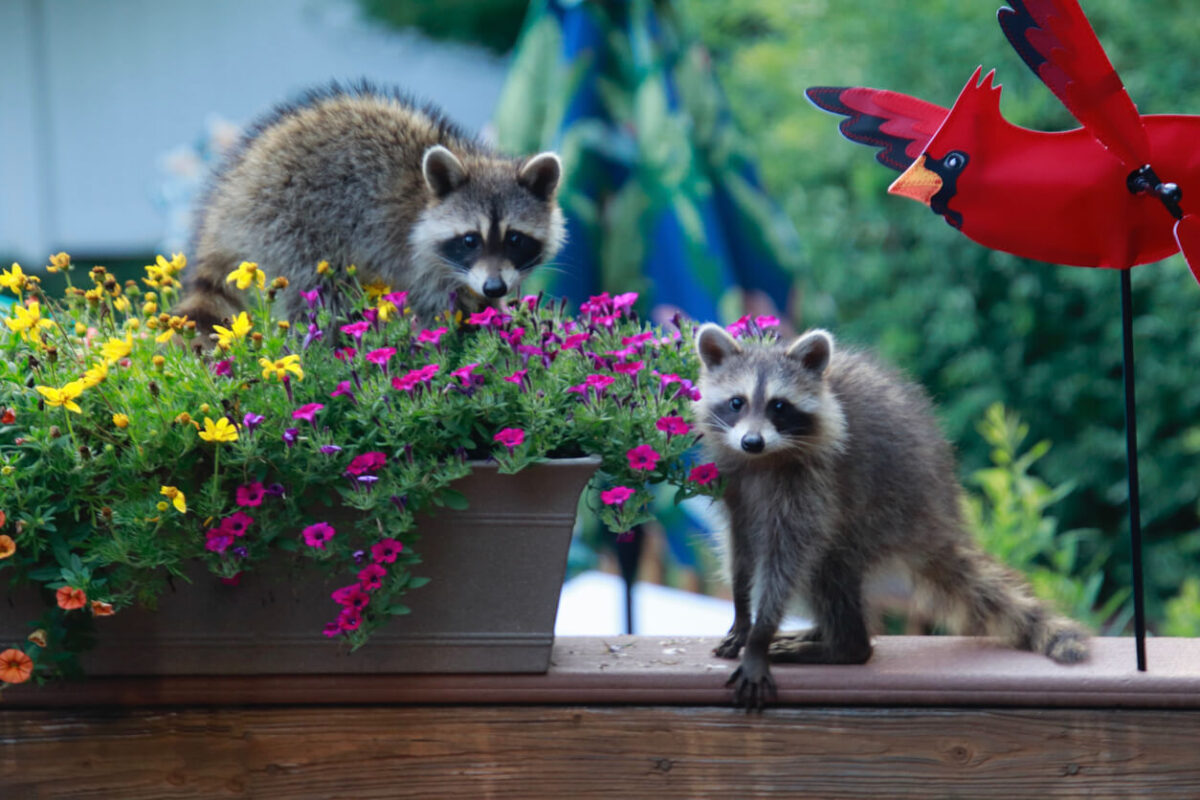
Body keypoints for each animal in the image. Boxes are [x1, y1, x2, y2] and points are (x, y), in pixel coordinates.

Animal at [172, 82, 565, 332]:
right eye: (471, 240)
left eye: (515, 239)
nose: (495, 288)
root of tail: (230, 196)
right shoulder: (416, 261)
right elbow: (437, 304)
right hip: (287, 224)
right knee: (324, 295)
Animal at [693, 324, 1088, 708]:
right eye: (737, 402)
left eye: (779, 406)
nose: (752, 441)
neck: (762, 460)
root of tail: (938, 518)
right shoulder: (733, 484)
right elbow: (740, 548)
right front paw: (743, 615)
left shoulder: (813, 483)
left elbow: (786, 560)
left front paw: (760, 635)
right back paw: (823, 632)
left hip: (877, 513)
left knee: (825, 566)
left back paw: (845, 646)